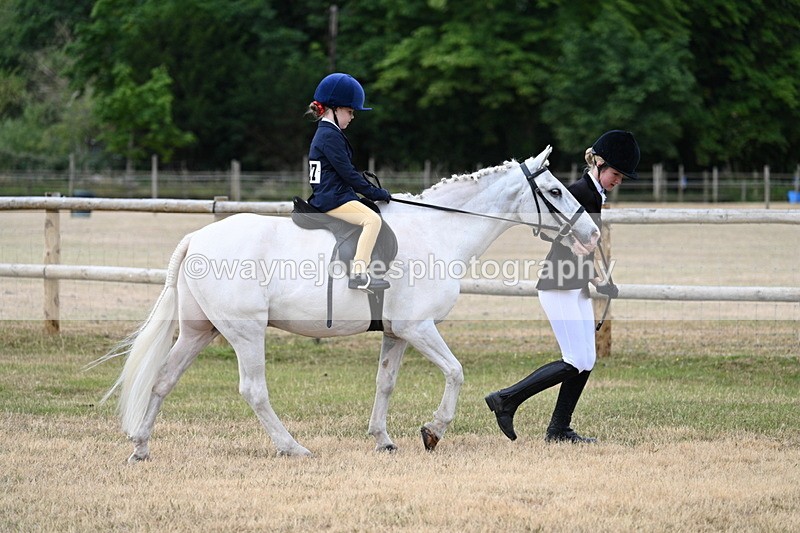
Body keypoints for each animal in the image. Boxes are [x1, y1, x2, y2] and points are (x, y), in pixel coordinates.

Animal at [98, 145, 600, 461]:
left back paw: (141, 448)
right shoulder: (419, 327)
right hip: (245, 331)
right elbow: (456, 372)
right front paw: (433, 431)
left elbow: (385, 384)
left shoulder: (398, 334)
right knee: (253, 390)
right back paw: (293, 448)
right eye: (556, 191)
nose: (592, 233)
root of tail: (197, 238)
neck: (437, 231)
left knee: (163, 382)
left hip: (199, 330)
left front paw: (383, 440)